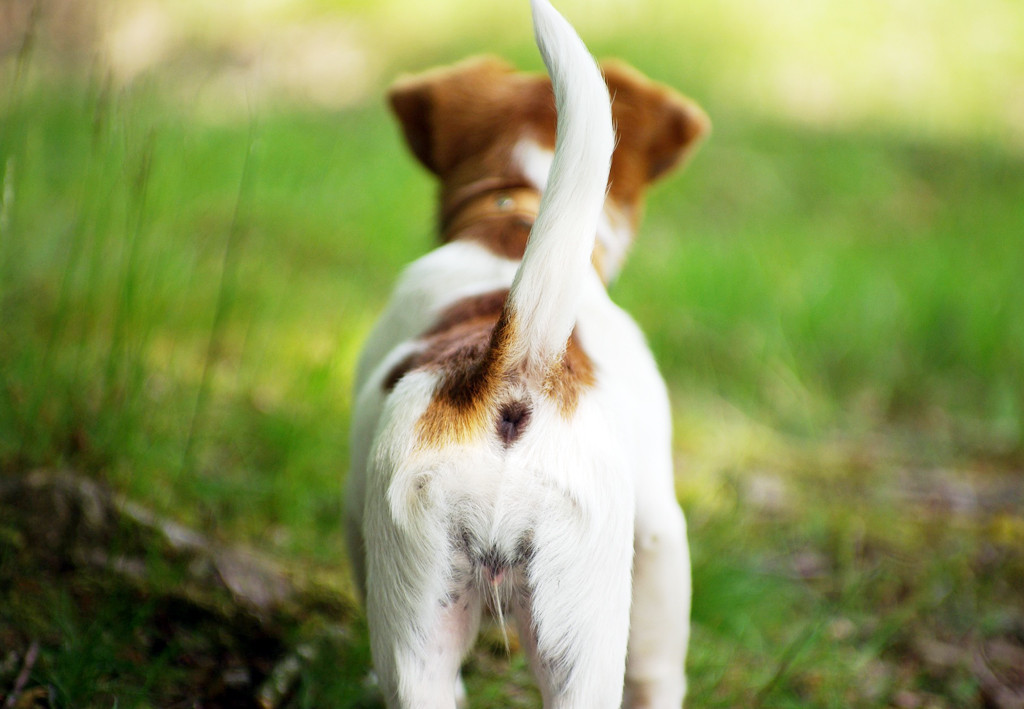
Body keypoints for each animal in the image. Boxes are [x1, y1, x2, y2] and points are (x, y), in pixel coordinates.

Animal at [348, 2, 708, 704]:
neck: (512, 220)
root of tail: (512, 367)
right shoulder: (659, 526)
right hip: (580, 635)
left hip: (423, 633)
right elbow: (660, 664)